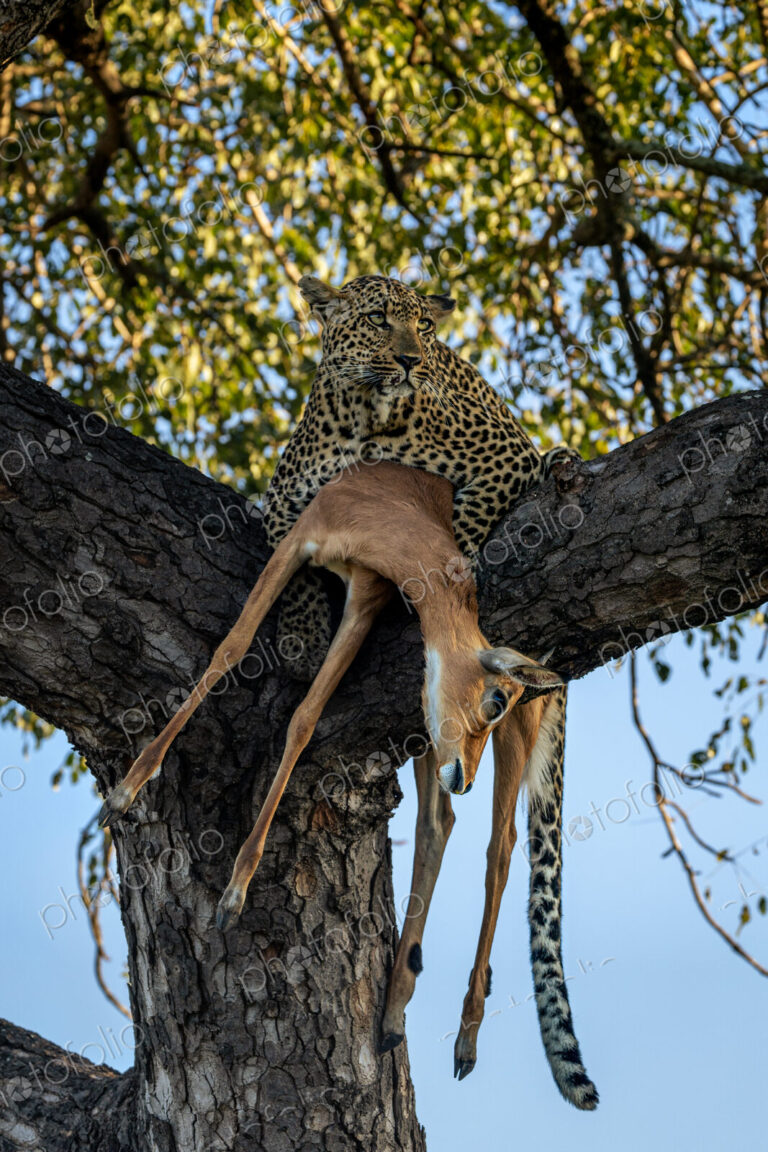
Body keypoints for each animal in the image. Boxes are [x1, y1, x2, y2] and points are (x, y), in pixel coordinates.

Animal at [99, 460, 597, 1108]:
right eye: (492, 698)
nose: (464, 776)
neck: (388, 507)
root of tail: (557, 688)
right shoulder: (303, 547)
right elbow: (234, 652)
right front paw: (125, 792)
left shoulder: (366, 597)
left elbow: (304, 717)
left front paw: (234, 895)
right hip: (428, 739)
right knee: (441, 824)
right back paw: (392, 1013)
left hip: (506, 746)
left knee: (502, 845)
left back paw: (465, 1037)